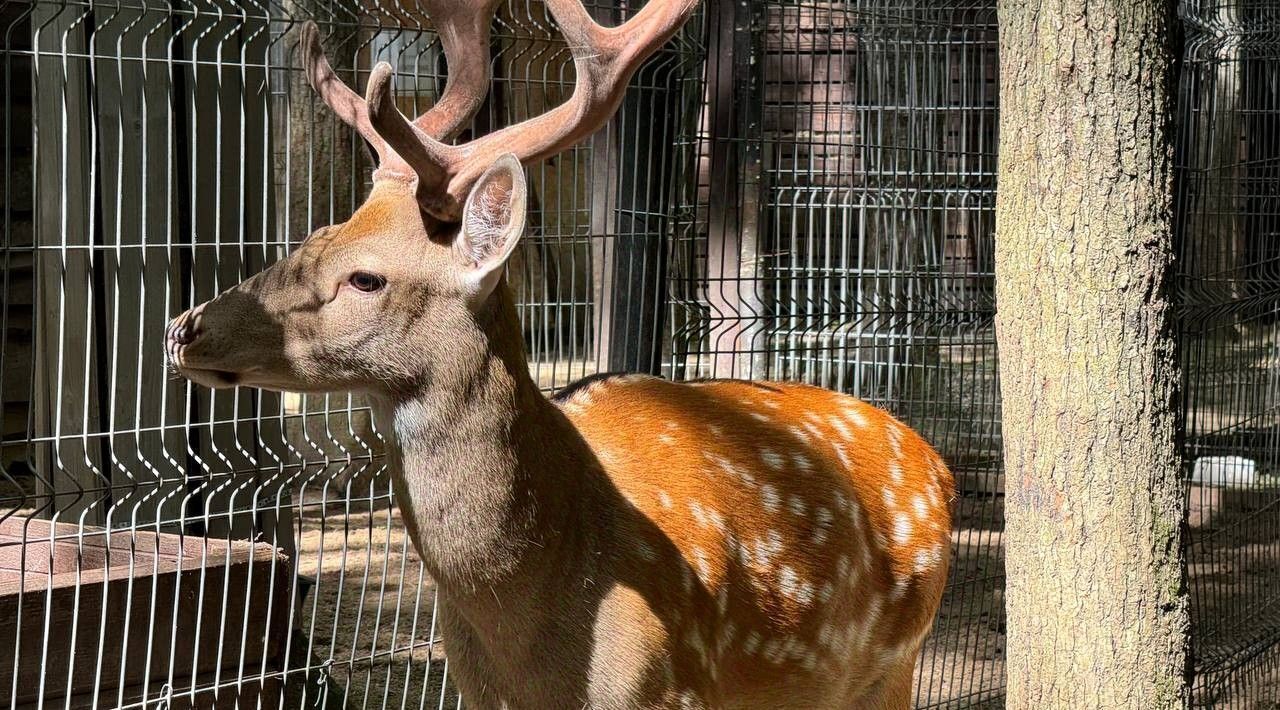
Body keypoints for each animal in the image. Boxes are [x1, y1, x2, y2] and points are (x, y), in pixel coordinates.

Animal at [165, 4, 957, 706]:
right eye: (313, 236)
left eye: (366, 277)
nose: (184, 328)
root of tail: (937, 463)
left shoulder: (672, 691)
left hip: (895, 664)